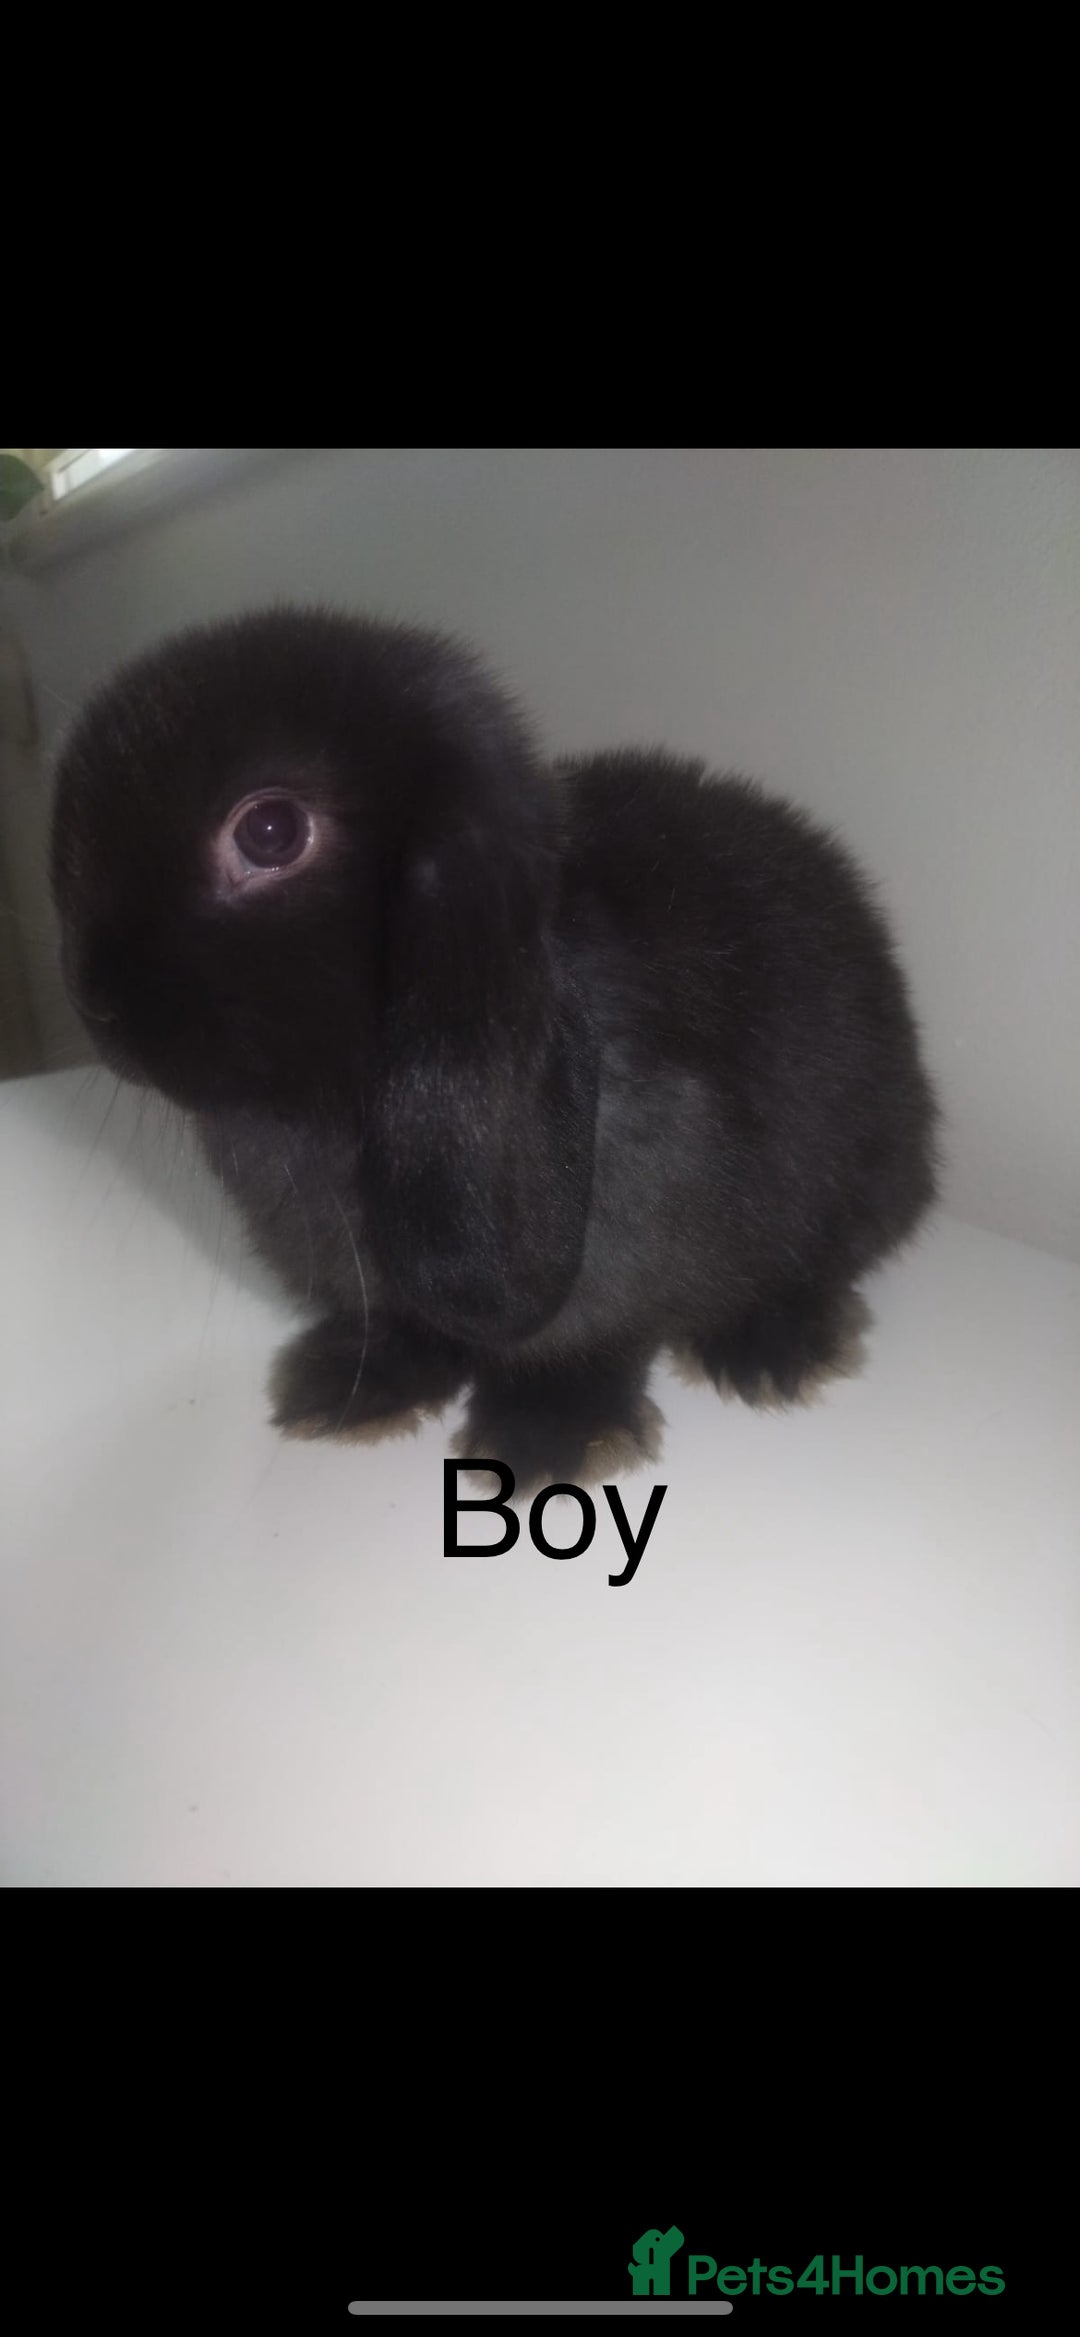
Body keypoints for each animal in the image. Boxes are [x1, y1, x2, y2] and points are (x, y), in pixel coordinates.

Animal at [51, 604, 939, 1490]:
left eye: (269, 832)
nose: (96, 1003)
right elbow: (403, 1329)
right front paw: (346, 1391)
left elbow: (590, 1342)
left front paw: (547, 1439)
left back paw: (772, 1349)